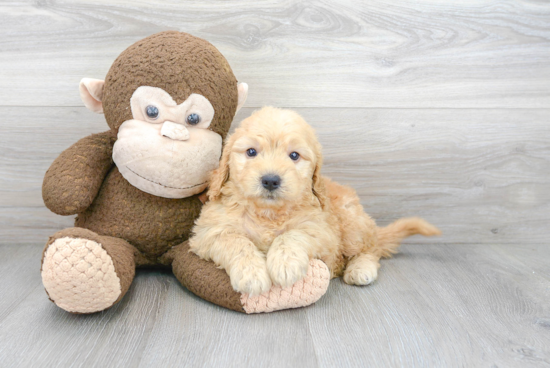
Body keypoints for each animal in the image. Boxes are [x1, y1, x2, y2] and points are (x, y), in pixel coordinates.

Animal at [192, 107, 442, 296]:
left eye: (294, 155)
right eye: (251, 152)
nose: (271, 180)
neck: (268, 213)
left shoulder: (322, 229)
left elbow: (292, 235)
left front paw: (285, 264)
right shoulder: (209, 231)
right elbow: (237, 241)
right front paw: (251, 274)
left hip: (352, 223)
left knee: (371, 250)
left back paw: (360, 269)